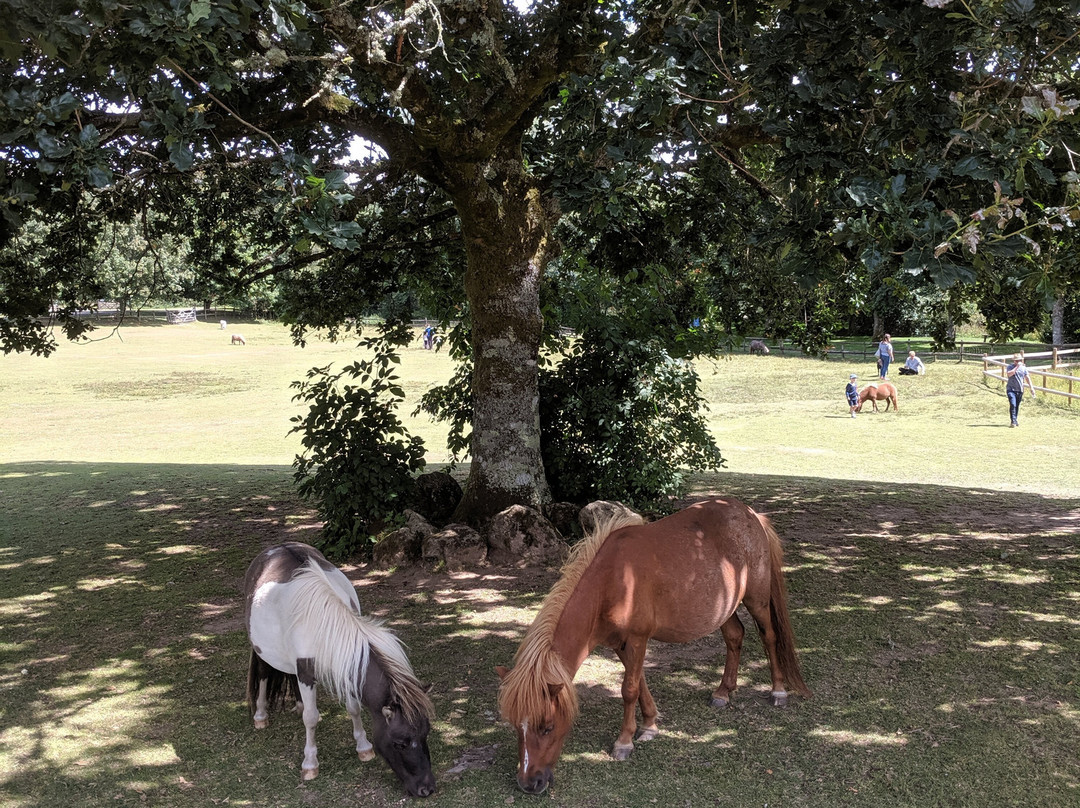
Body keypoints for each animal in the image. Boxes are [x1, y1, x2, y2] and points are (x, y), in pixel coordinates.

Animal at [245, 540, 434, 799]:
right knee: (264, 675)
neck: (324, 624)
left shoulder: (345, 666)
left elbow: (353, 708)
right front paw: (310, 764)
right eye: (399, 743)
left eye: (426, 733)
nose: (427, 789)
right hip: (262, 650)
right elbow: (310, 718)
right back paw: (261, 716)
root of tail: (276, 548)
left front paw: (363, 747)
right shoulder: (306, 673)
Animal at [494, 499, 807, 795]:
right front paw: (649, 724)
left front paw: (624, 742)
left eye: (547, 726)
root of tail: (752, 515)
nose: (528, 783)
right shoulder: (620, 644)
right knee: (734, 636)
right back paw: (723, 692)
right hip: (723, 606)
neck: (611, 582)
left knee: (769, 637)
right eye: (516, 726)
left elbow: (629, 689)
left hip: (757, 600)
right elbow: (639, 682)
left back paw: (778, 691)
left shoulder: (637, 638)